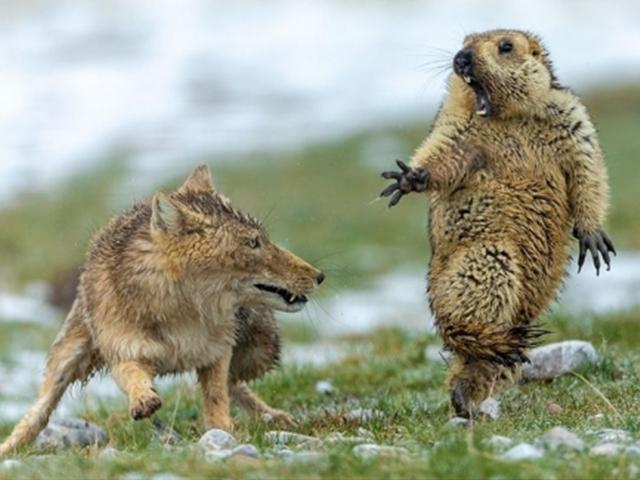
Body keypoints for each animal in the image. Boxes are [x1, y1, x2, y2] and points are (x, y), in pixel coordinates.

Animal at [0, 164, 322, 454]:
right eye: (253, 243)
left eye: (263, 239)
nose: (319, 275)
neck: (182, 315)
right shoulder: (124, 351)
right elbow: (133, 375)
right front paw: (144, 400)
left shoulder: (217, 351)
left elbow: (217, 396)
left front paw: (223, 431)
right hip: (66, 360)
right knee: (38, 413)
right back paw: (11, 447)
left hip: (260, 351)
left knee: (236, 384)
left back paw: (273, 417)